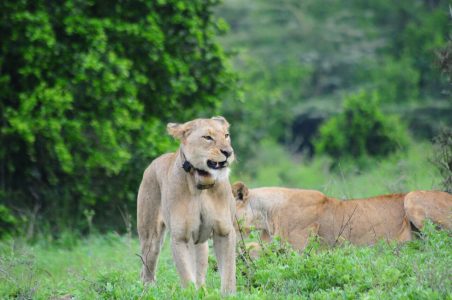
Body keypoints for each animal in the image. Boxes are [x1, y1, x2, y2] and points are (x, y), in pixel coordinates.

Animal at [137, 116, 237, 292]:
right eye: (207, 137)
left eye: (226, 135)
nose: (228, 152)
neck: (202, 183)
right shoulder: (181, 237)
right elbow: (186, 276)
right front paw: (191, 294)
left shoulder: (224, 232)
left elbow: (229, 273)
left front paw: (229, 294)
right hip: (151, 239)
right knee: (147, 269)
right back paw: (148, 291)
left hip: (200, 243)